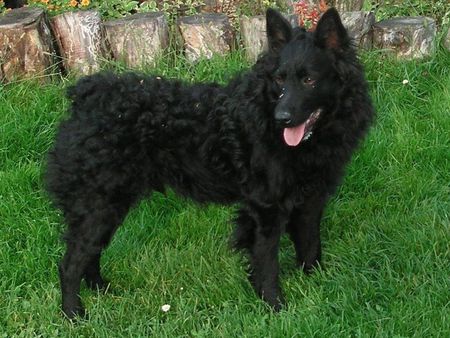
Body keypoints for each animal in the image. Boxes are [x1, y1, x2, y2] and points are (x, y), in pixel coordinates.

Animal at [45, 8, 374, 320]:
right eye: (280, 79)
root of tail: (85, 96)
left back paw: (102, 291)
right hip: (99, 204)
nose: (282, 118)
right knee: (70, 263)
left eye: (309, 80)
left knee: (89, 255)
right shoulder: (265, 209)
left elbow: (310, 246)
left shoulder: (311, 201)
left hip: (108, 205)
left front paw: (316, 285)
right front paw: (275, 307)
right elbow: (267, 263)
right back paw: (74, 314)